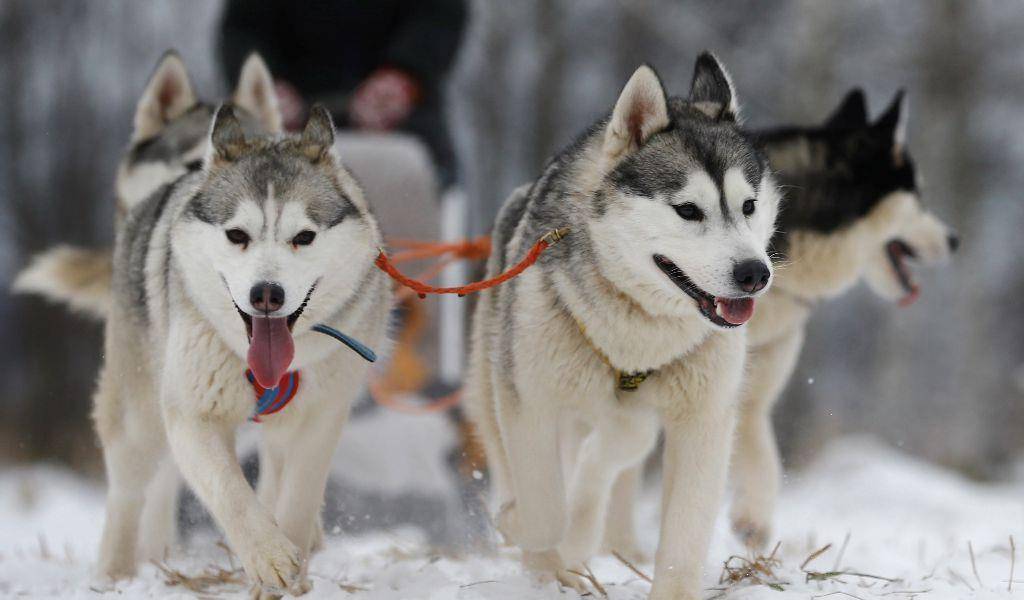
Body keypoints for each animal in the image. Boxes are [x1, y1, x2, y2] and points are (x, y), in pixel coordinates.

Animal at [92, 98, 389, 593]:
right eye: (237, 235)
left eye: (303, 236)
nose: (266, 293)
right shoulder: (193, 415)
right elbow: (230, 491)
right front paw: (269, 556)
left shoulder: (321, 417)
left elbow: (298, 497)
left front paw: (292, 571)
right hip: (139, 416)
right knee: (126, 491)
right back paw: (113, 574)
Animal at [468, 52, 778, 597]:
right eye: (688, 210)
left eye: (749, 206)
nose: (755, 273)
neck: (638, 335)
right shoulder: (529, 400)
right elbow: (543, 505)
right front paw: (530, 536)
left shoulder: (703, 420)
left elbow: (682, 535)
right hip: (494, 383)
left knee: (613, 450)